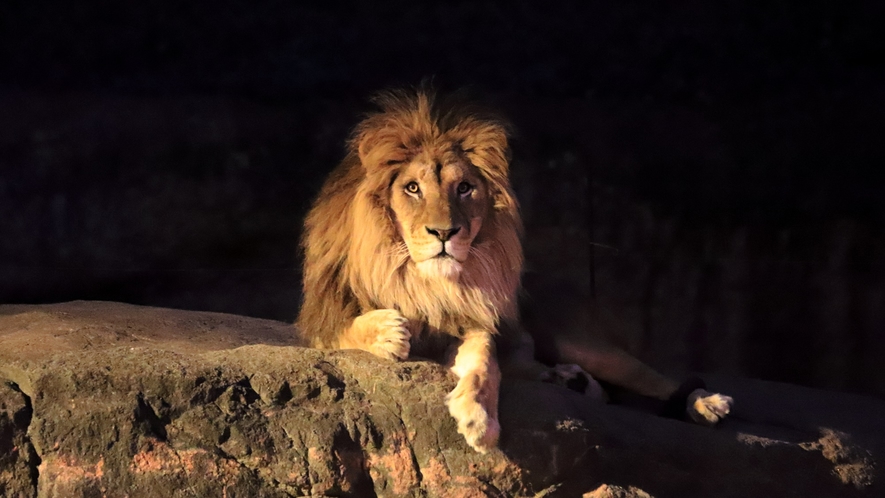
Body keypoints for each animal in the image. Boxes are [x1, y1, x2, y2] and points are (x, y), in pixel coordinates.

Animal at [296, 87, 732, 454]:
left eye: (464, 188)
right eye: (412, 188)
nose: (445, 233)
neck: (425, 281)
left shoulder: (474, 321)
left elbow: (484, 363)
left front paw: (479, 419)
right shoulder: (322, 318)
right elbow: (345, 330)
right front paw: (388, 331)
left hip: (583, 342)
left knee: (653, 379)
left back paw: (707, 403)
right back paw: (570, 381)